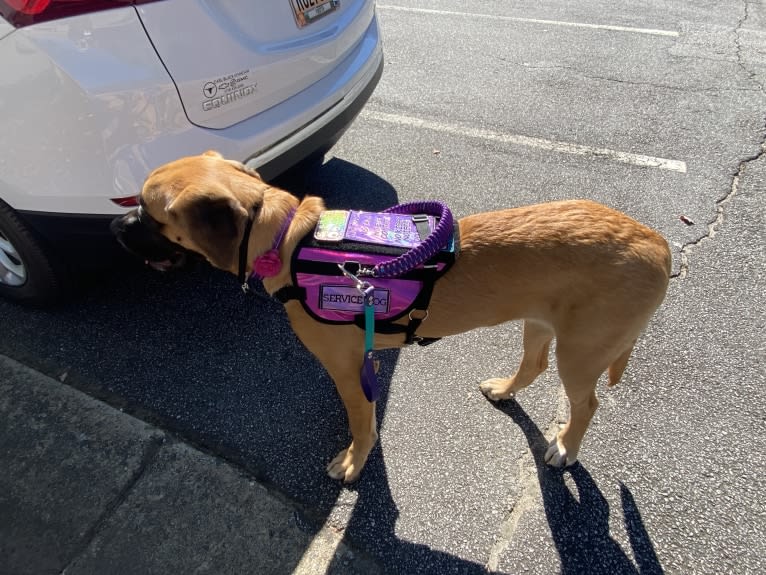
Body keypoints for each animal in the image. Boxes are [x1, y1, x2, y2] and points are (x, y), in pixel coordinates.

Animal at [112, 151, 672, 484]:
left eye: (150, 213)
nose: (116, 227)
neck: (289, 242)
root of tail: (657, 242)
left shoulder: (343, 365)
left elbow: (361, 421)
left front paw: (355, 459)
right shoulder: (361, 360)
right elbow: (364, 406)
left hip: (582, 352)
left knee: (587, 403)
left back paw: (565, 448)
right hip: (540, 322)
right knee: (533, 365)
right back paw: (504, 389)